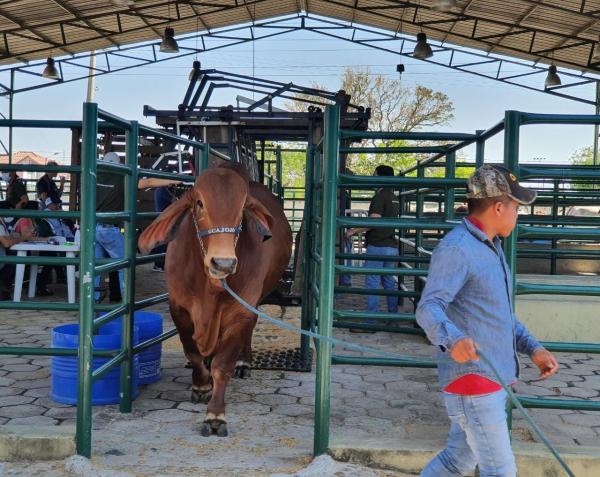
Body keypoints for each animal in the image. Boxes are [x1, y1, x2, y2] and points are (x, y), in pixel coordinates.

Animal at [139, 165, 292, 436]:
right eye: (200, 203)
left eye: (242, 209)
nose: (223, 263)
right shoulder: (178, 308)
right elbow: (192, 352)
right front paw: (201, 385)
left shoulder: (241, 311)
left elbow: (223, 365)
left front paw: (215, 415)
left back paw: (244, 362)